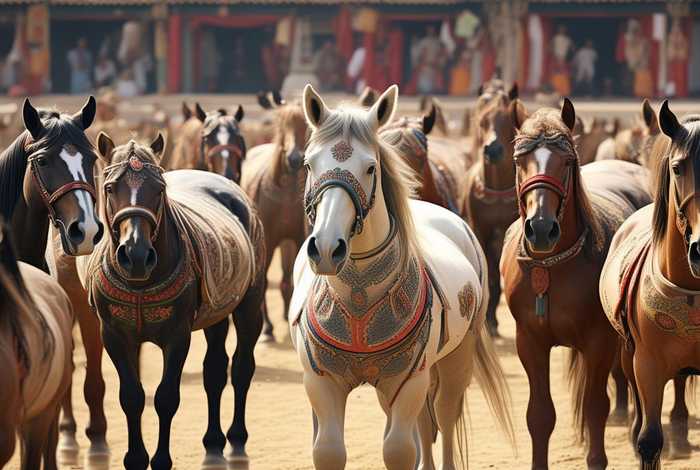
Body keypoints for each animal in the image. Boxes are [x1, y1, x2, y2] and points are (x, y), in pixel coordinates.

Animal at [78, 133, 265, 469]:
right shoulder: (114, 335)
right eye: (110, 188)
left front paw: (161, 459)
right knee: (214, 371)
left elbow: (166, 398)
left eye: (159, 189)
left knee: (242, 368)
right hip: (215, 312)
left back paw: (236, 438)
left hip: (250, 307)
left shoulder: (177, 336)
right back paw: (213, 442)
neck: (141, 282)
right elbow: (132, 397)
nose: (136, 254)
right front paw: (135, 458)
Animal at [241, 94, 308, 340]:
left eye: (305, 122)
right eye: (280, 122)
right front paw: (267, 329)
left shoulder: (298, 238)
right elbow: (263, 282)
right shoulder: (268, 241)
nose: (295, 158)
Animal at [289, 84, 513, 469]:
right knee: (423, 421)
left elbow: (398, 451)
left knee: (444, 414)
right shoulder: (322, 380)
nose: (327, 248)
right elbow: (329, 451)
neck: (359, 293)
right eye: (309, 164)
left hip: (457, 356)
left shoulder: (408, 379)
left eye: (370, 168)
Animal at [500, 99, 652, 469]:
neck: (552, 265)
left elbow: (596, 408)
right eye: (519, 161)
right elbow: (540, 415)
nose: (541, 229)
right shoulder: (529, 341)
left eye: (566, 161)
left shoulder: (599, 341)